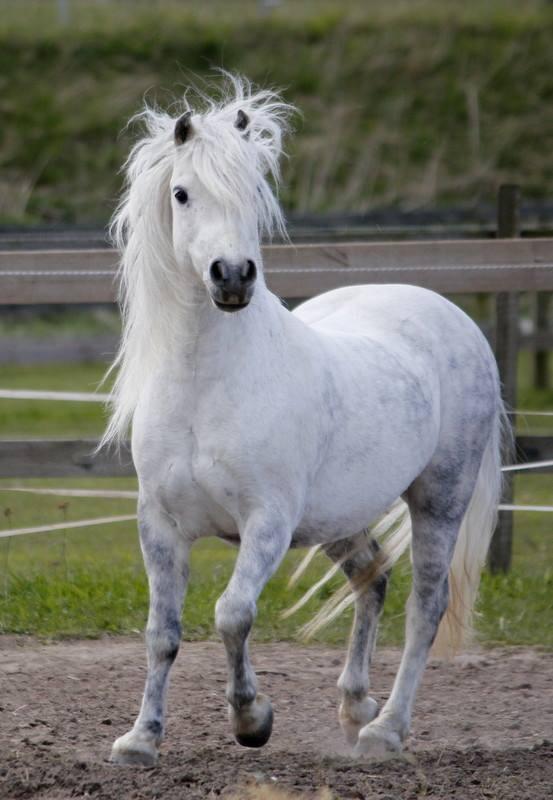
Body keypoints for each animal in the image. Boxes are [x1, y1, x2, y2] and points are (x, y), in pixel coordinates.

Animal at [103, 76, 504, 768]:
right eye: (182, 193)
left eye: (253, 191)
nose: (233, 277)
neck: (206, 385)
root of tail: (448, 311)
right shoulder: (160, 524)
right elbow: (162, 632)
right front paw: (140, 739)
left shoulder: (266, 522)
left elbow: (232, 614)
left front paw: (251, 719)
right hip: (337, 516)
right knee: (373, 575)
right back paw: (355, 707)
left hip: (440, 498)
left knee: (426, 605)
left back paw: (385, 730)